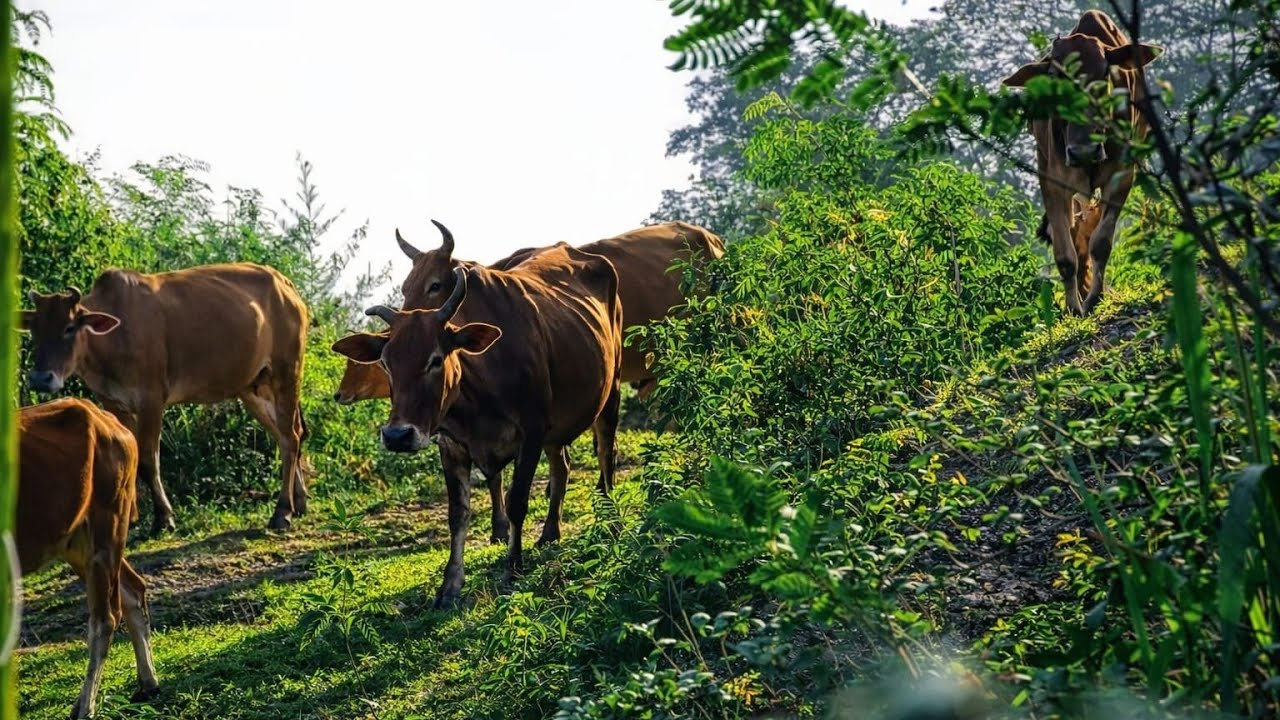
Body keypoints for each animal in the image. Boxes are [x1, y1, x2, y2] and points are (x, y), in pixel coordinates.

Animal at [18, 398, 160, 718]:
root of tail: (104, 417)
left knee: (105, 618)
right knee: (133, 590)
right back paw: (148, 684)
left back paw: (85, 706)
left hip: (108, 525)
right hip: (77, 542)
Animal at [22, 263, 310, 532]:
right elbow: (129, 452)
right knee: (287, 433)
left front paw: (163, 517)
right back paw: (299, 501)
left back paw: (282, 511)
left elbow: (148, 460)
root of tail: (285, 283)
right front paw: (131, 517)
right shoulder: (113, 402)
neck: (113, 336)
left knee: (290, 438)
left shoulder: (151, 399)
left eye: (69, 327)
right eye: (34, 329)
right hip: (253, 388)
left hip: (287, 372)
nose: (40, 378)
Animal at [332, 245, 622, 609]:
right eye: (385, 363)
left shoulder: (532, 433)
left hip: (610, 392)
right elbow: (458, 514)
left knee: (607, 452)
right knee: (562, 467)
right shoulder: (451, 447)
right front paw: (450, 584)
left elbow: (516, 502)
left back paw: (610, 521)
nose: (397, 436)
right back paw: (549, 533)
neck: (477, 398)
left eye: (435, 359)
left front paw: (512, 567)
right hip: (557, 431)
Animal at [1003, 9, 1161, 316]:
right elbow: (1065, 253)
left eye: (1105, 74)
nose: (1083, 151)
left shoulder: (1122, 174)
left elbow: (1101, 242)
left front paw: (1094, 298)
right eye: (1055, 77)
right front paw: (1073, 308)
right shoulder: (1051, 180)